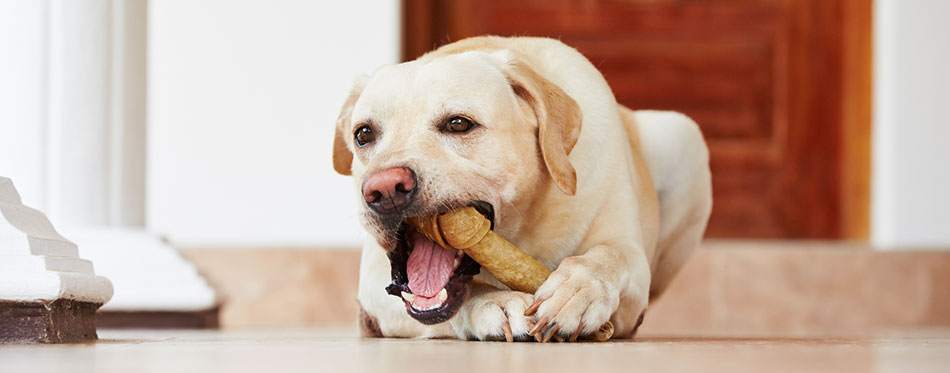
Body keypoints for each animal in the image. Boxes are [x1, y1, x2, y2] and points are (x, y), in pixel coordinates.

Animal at [330, 35, 712, 340]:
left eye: (458, 124)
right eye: (364, 134)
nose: (385, 189)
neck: (524, 230)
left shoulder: (628, 253)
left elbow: (607, 256)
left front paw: (579, 290)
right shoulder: (373, 282)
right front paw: (496, 302)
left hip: (685, 136)